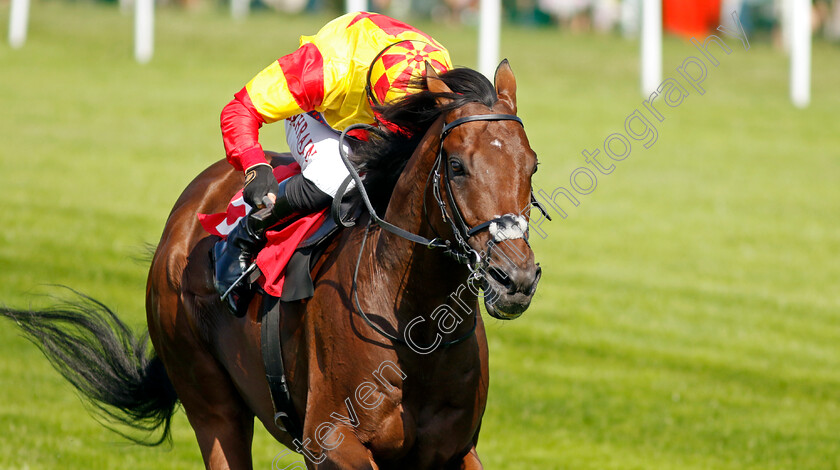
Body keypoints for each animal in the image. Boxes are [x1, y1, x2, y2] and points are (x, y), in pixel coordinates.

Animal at [1, 60, 540, 468]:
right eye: (457, 166)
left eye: (531, 165)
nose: (514, 278)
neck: (414, 325)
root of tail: (186, 211)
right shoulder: (331, 441)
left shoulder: (455, 450)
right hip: (211, 405)